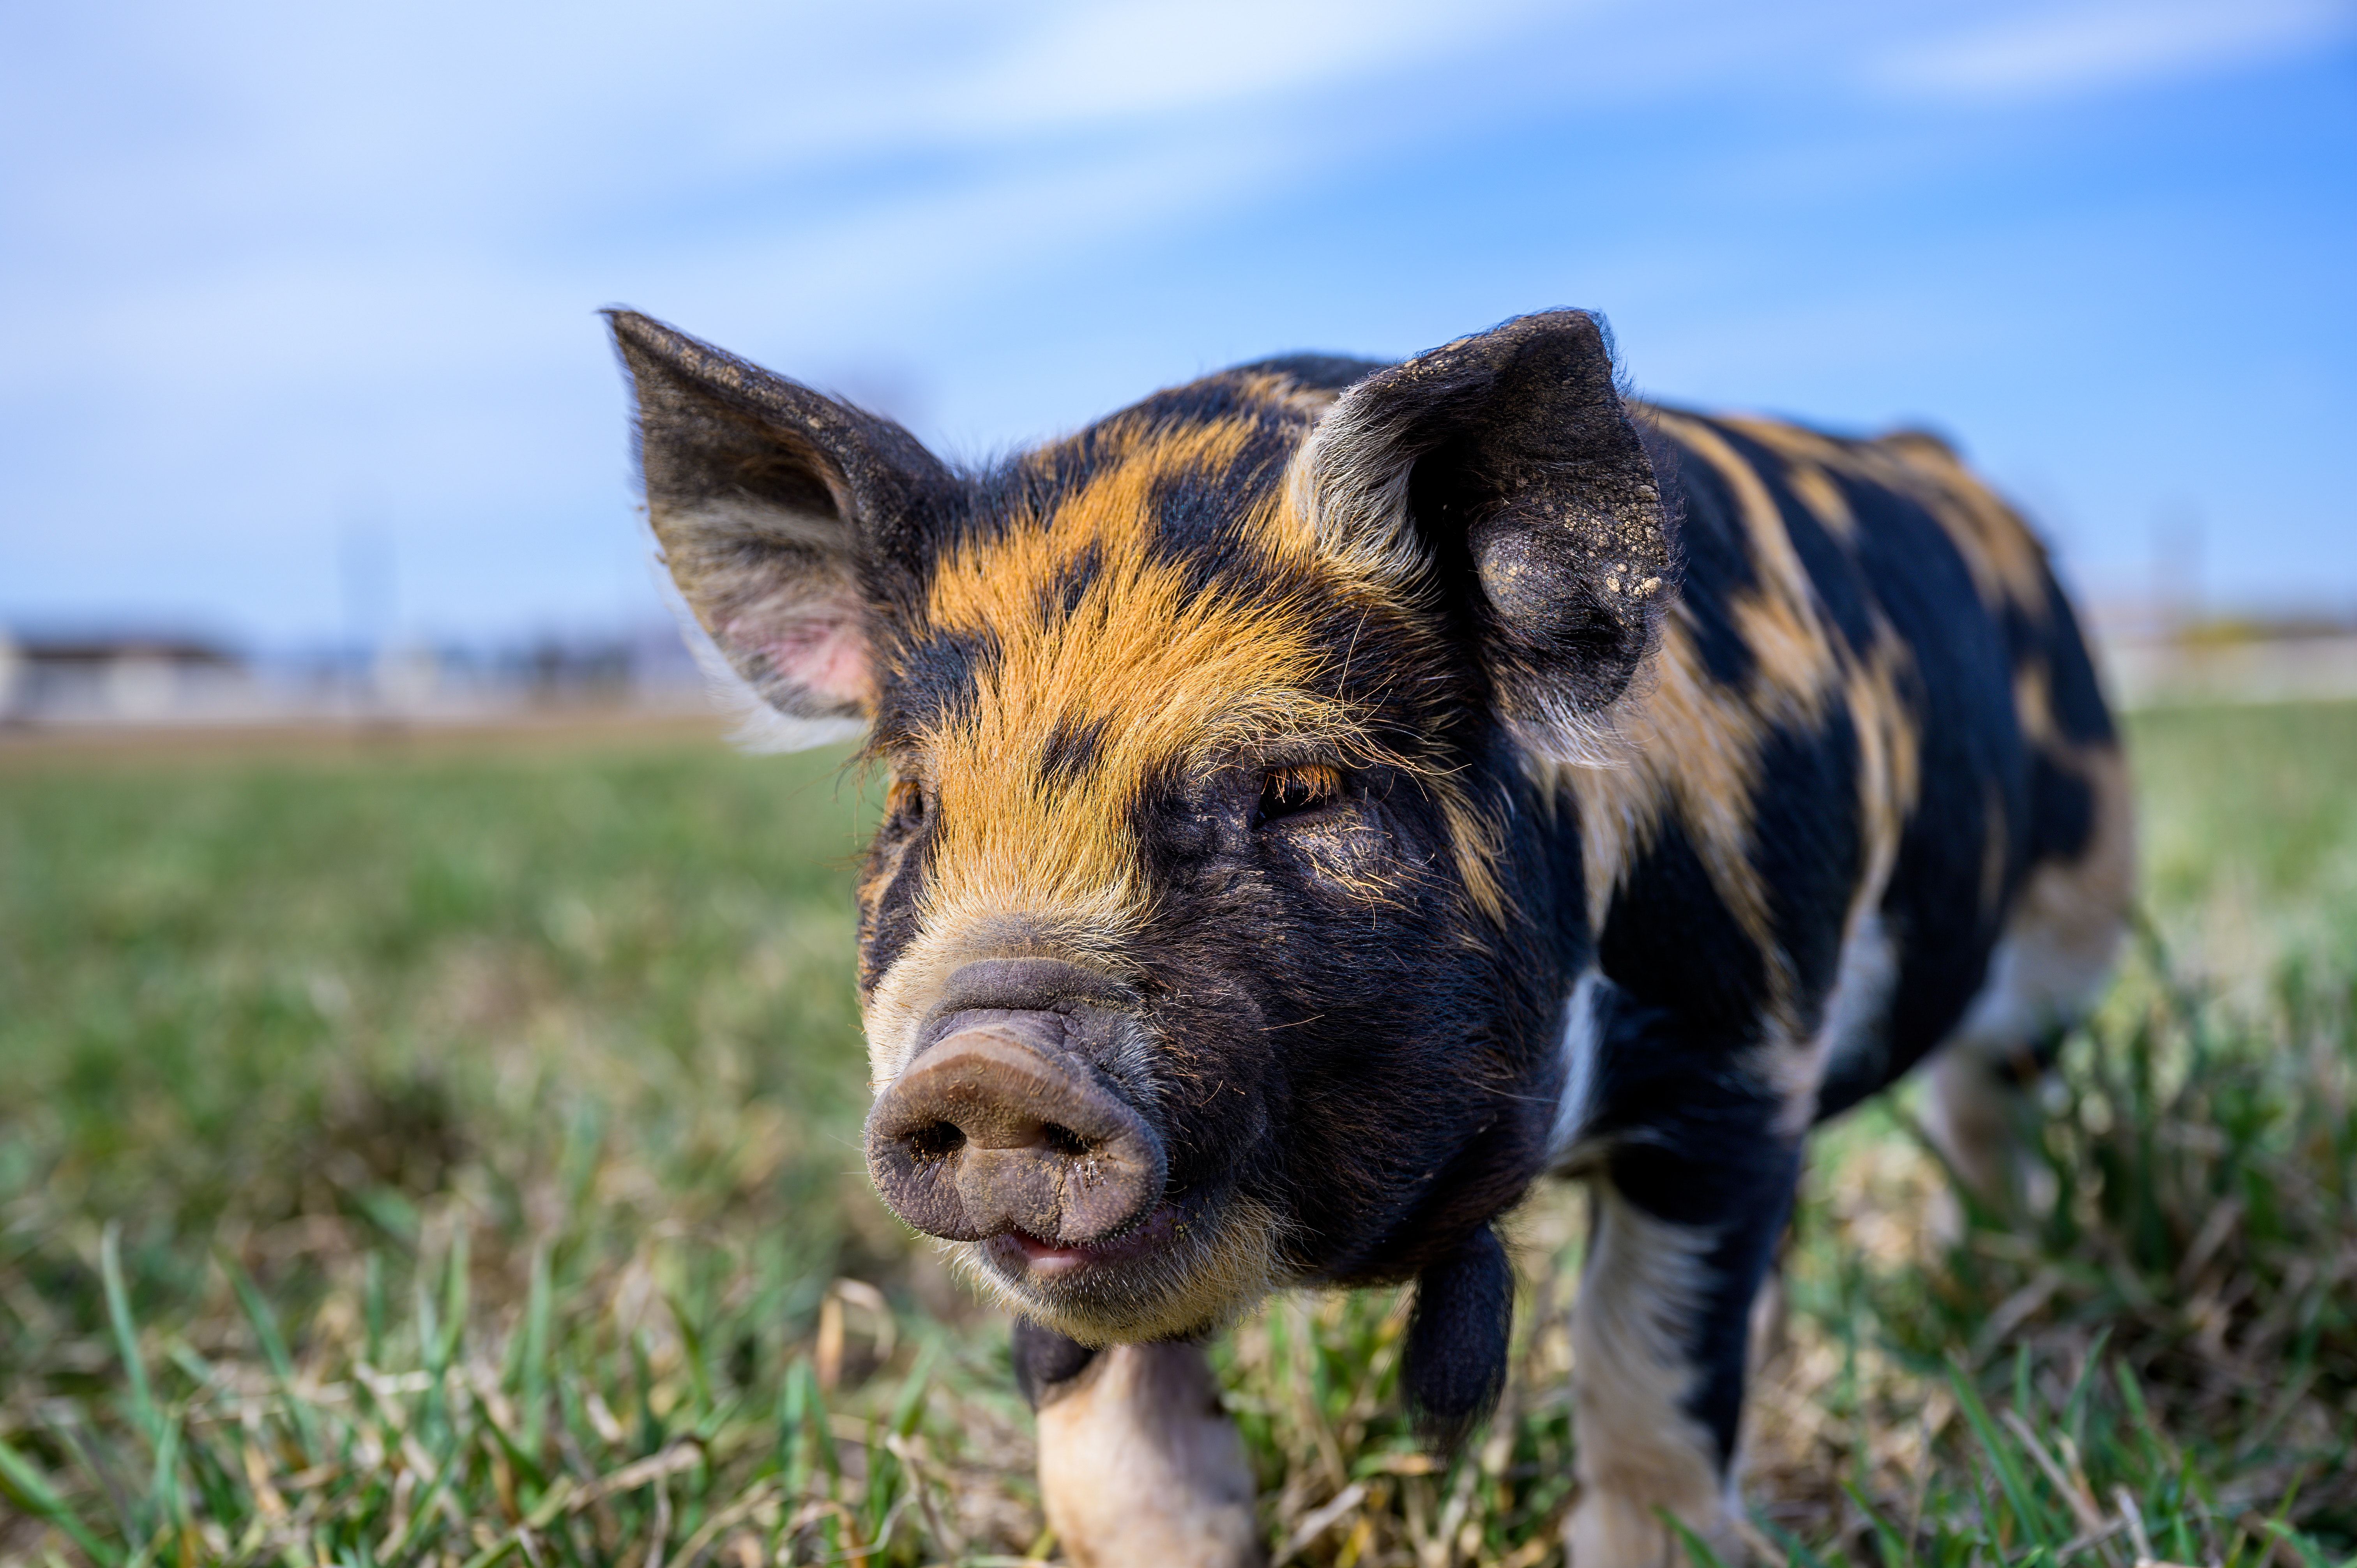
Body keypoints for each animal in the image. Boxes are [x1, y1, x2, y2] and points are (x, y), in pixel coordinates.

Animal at [608, 309, 2140, 1565]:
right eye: (913, 807)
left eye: (1301, 789)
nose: (988, 1064)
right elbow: (1114, 1458)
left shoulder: (1736, 1062)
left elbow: (1646, 1388)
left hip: (2068, 923)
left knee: (1986, 1105)